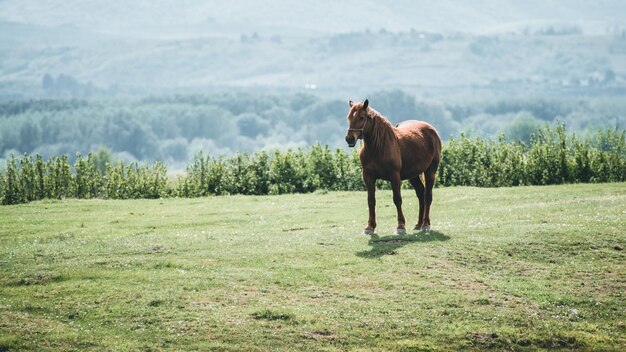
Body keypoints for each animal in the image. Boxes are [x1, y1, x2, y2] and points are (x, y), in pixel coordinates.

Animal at [344, 99, 442, 235]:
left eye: (362, 117)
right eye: (349, 117)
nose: (349, 139)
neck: (378, 147)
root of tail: (432, 130)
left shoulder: (394, 177)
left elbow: (397, 199)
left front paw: (401, 226)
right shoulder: (368, 177)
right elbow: (371, 201)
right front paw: (370, 227)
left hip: (430, 171)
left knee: (427, 196)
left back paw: (426, 224)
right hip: (413, 175)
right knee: (420, 193)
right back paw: (418, 224)